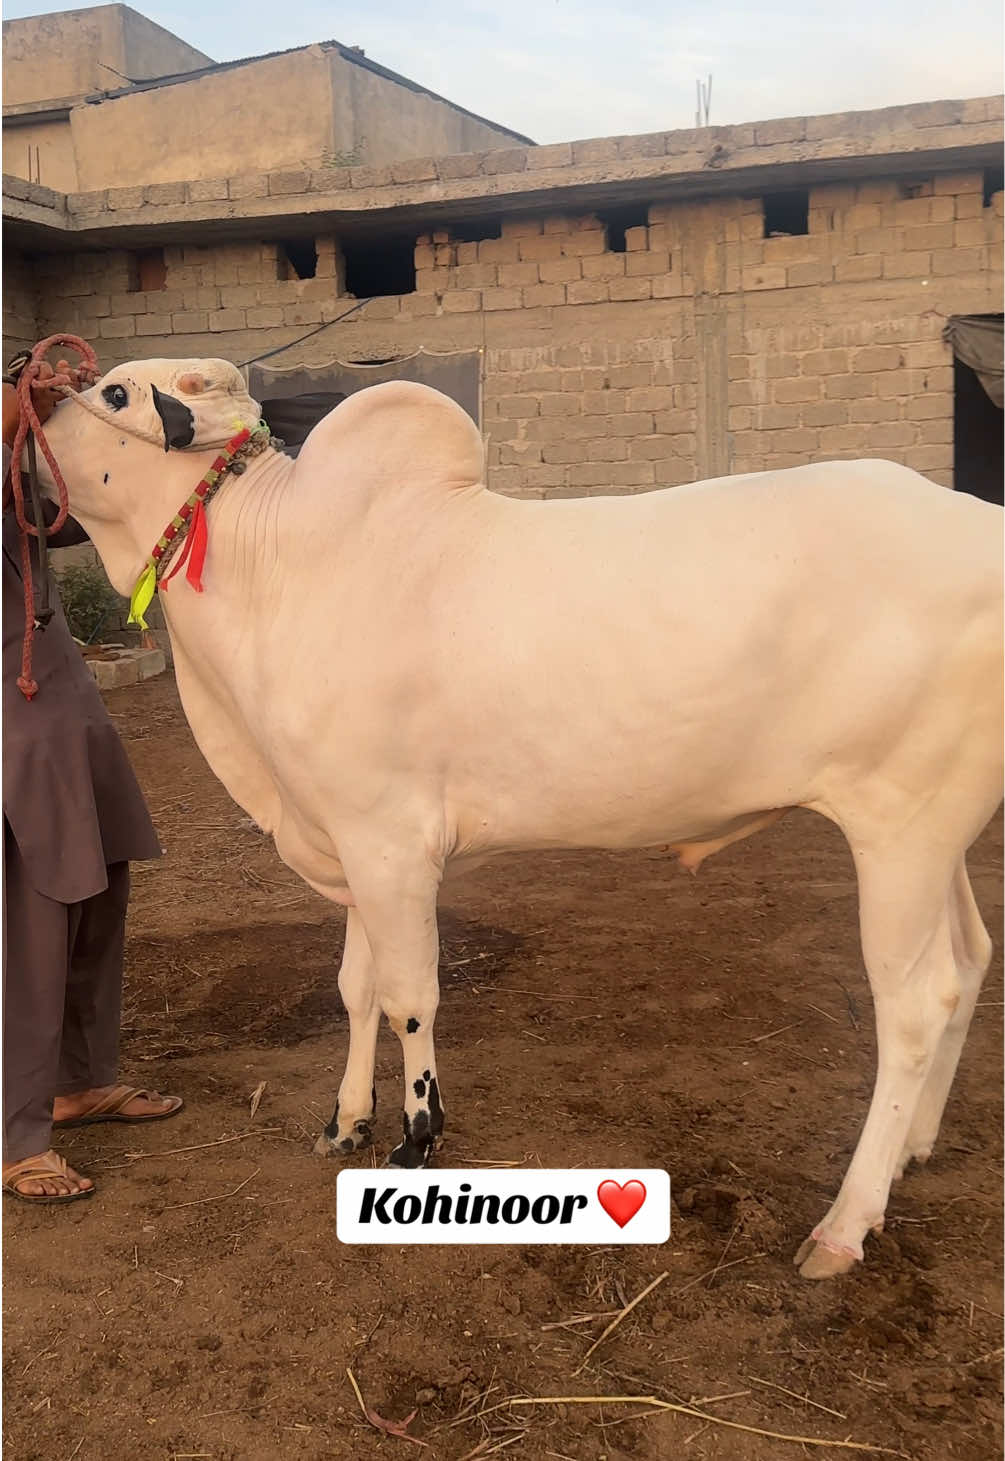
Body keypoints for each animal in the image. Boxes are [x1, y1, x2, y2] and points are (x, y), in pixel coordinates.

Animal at [33, 356, 1002, 1278]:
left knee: (914, 1003)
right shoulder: (349, 838)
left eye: (111, 391)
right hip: (936, 835)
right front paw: (345, 1120)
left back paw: (844, 1223)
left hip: (898, 830)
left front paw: (417, 1138)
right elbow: (353, 988)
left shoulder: (390, 844)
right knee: (966, 963)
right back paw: (912, 1149)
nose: (30, 402)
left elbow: (409, 997)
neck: (277, 571)